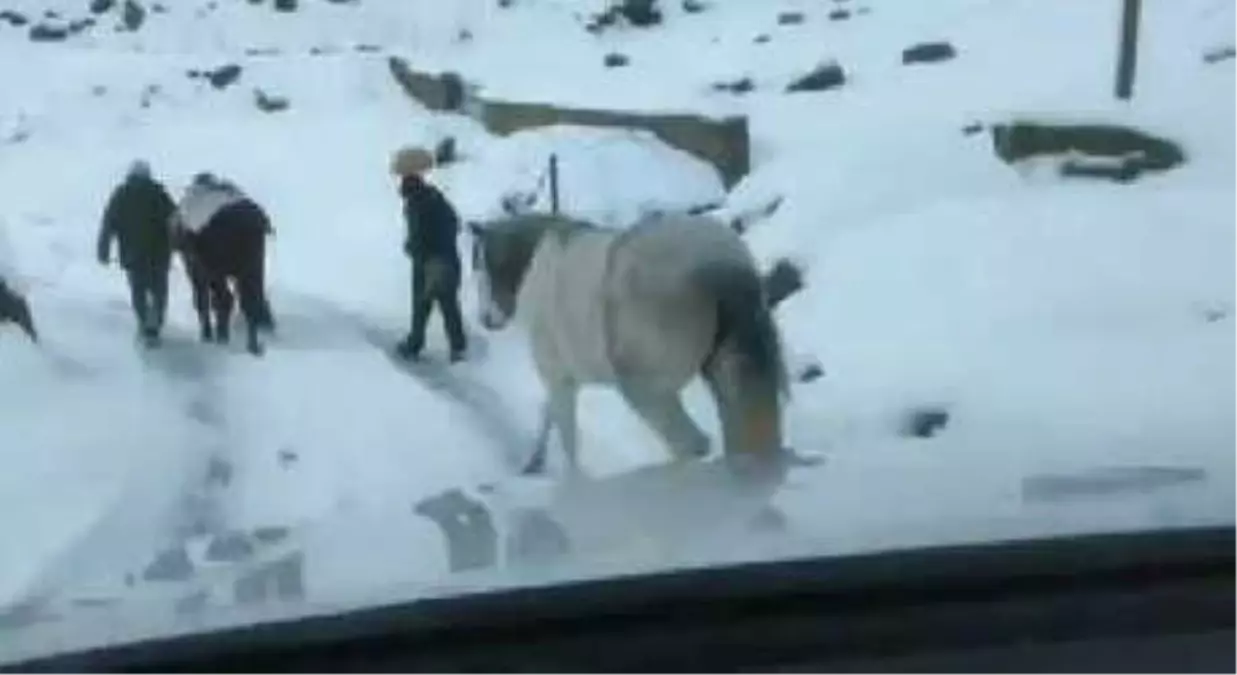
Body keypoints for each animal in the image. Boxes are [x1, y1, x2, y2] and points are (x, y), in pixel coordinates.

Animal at [465, 210, 801, 477]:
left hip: (645, 390)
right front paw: (534, 461)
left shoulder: (557, 376)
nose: (487, 319)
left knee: (691, 444)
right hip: (727, 370)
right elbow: (548, 414)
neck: (538, 267)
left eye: (486, 266)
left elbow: (567, 435)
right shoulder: (564, 378)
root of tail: (718, 262)